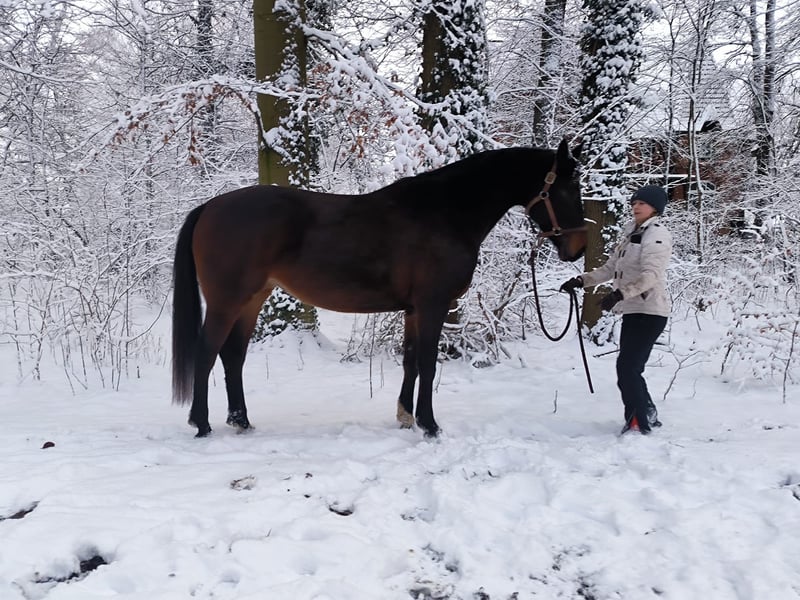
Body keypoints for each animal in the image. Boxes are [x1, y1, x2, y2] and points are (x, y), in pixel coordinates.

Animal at [172, 139, 586, 438]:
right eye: (568, 190)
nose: (578, 248)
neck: (447, 211)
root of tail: (210, 207)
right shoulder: (433, 304)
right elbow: (428, 363)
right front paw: (430, 425)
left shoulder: (414, 309)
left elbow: (411, 361)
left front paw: (406, 416)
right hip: (227, 301)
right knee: (207, 353)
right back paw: (201, 423)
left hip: (252, 299)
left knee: (233, 356)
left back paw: (240, 420)